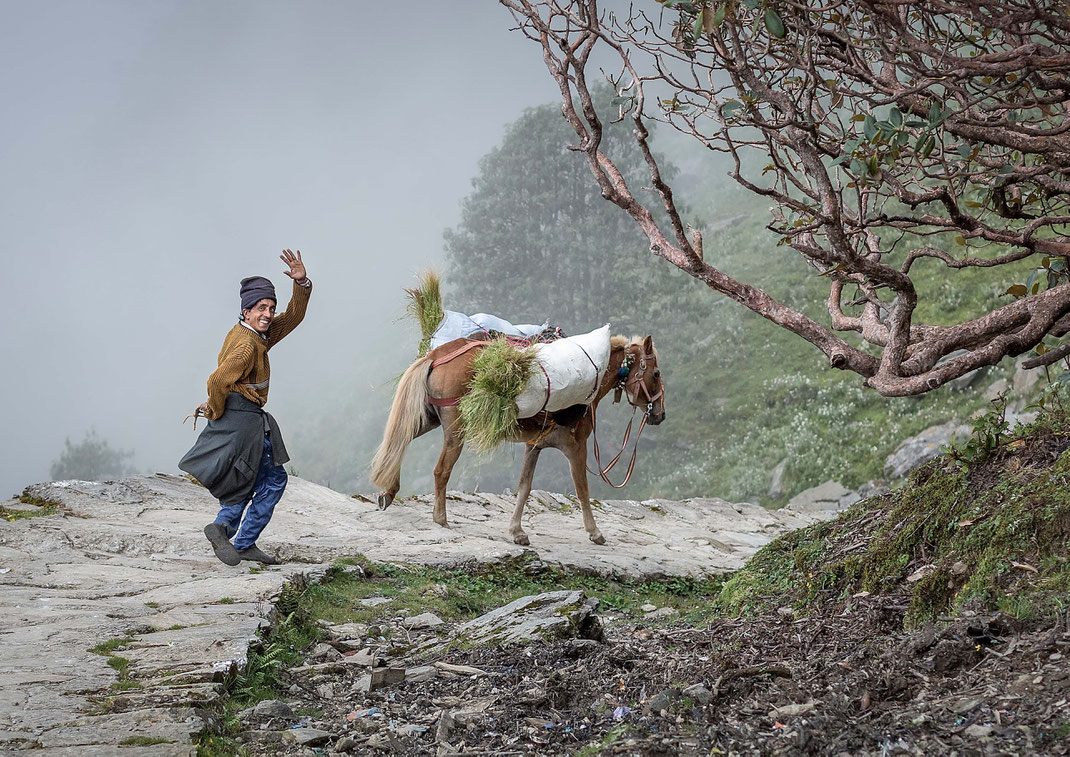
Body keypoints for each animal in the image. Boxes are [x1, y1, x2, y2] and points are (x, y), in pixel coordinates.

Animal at [372, 336, 663, 543]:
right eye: (656, 374)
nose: (659, 415)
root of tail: (435, 356)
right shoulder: (575, 446)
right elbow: (582, 489)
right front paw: (595, 532)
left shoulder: (534, 446)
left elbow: (524, 486)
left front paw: (517, 532)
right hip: (455, 429)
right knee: (440, 470)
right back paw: (440, 518)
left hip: (428, 417)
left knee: (399, 441)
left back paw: (389, 491)